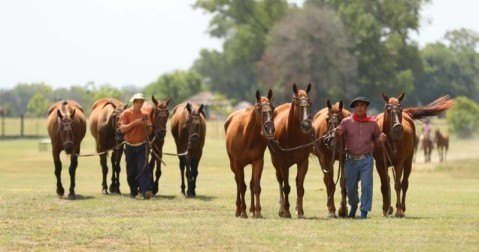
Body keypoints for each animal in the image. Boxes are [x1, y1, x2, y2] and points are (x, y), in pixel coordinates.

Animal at [224, 89, 274, 218]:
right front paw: (243, 212)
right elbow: (242, 186)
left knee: (251, 184)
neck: (247, 136)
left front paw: (258, 212)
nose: (269, 128)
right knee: (238, 182)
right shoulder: (237, 163)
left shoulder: (258, 161)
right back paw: (238, 210)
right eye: (259, 108)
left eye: (272, 107)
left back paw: (252, 210)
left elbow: (256, 187)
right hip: (232, 164)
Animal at [268, 83, 314, 219]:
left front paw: (300, 212)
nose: (306, 126)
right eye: (298, 104)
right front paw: (286, 212)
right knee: (280, 181)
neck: (293, 136)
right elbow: (286, 187)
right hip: (276, 162)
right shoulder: (283, 164)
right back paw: (282, 209)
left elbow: (300, 187)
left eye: (310, 103)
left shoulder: (303, 162)